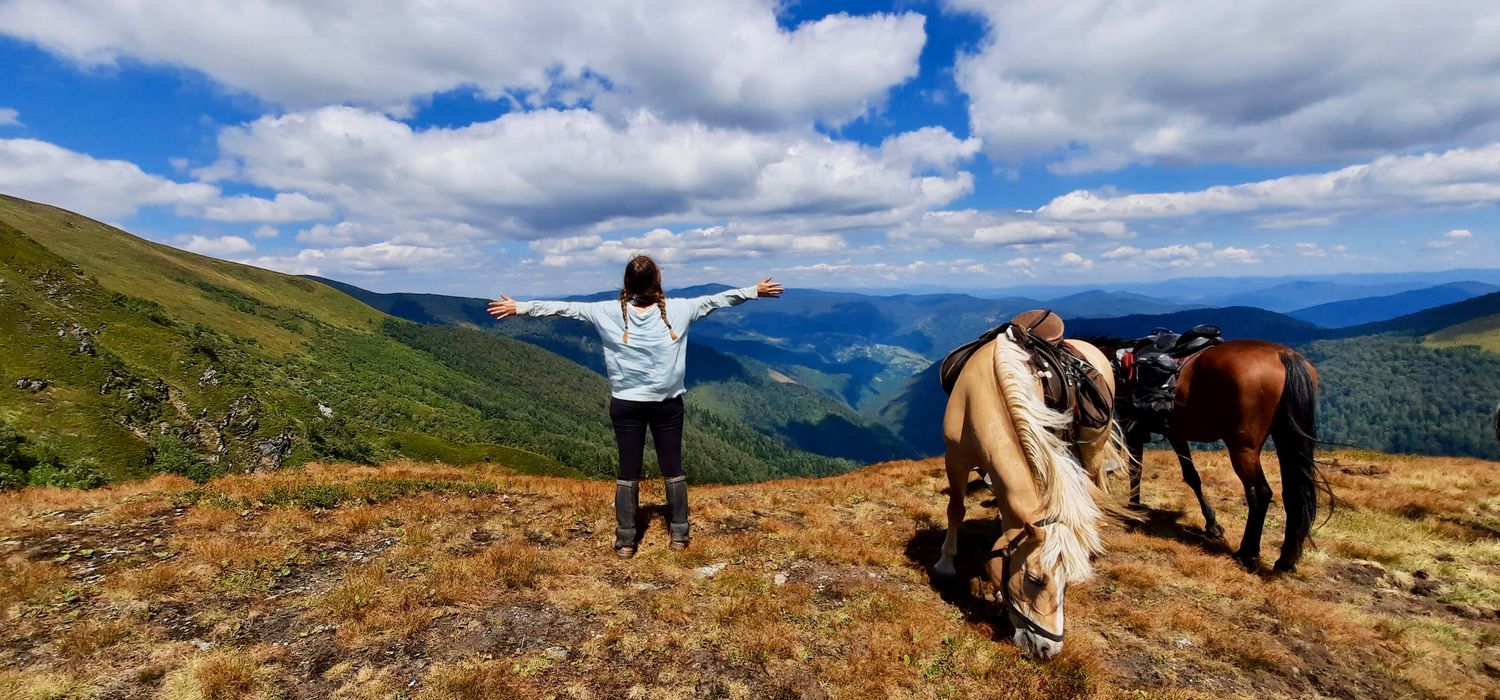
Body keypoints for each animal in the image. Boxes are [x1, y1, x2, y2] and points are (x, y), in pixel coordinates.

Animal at [930, 331, 1122, 659]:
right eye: (1035, 579)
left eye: (1066, 585)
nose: (1049, 649)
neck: (984, 393)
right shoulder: (955, 456)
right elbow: (956, 509)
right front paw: (946, 564)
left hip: (1095, 442)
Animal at [1092, 340, 1326, 575]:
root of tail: (1283, 355)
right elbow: (1153, 471)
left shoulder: (1156, 432)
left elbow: (1164, 473)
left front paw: (1133, 507)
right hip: (1285, 437)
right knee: (1294, 494)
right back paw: (1286, 560)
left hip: (1243, 448)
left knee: (1260, 493)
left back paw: (1247, 551)